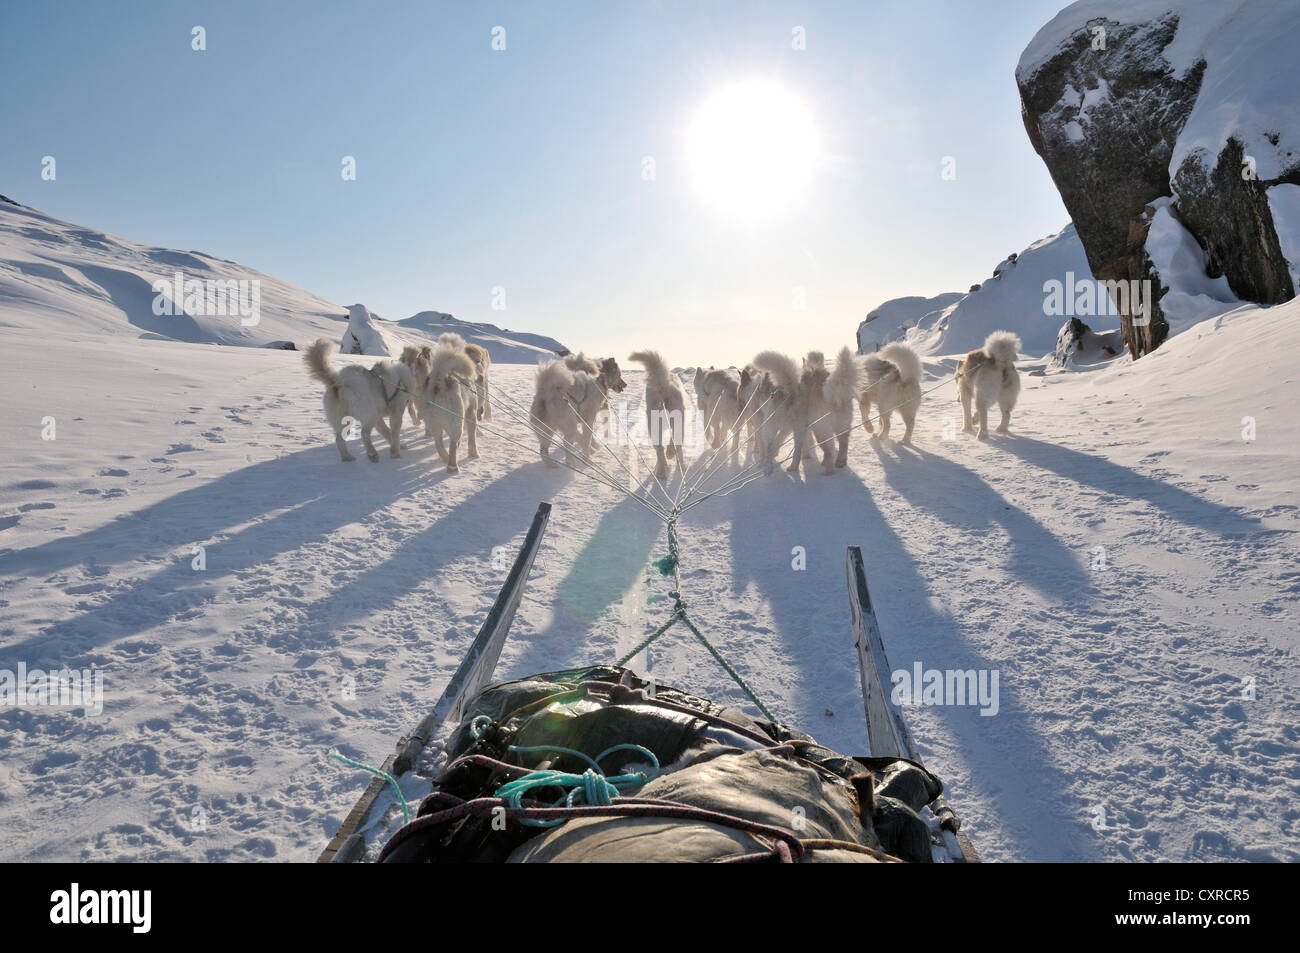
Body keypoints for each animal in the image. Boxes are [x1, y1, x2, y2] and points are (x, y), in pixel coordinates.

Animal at [626, 348, 686, 478]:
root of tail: (663, 386)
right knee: (673, 447)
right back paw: (674, 467)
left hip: (655, 425)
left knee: (661, 449)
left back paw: (662, 470)